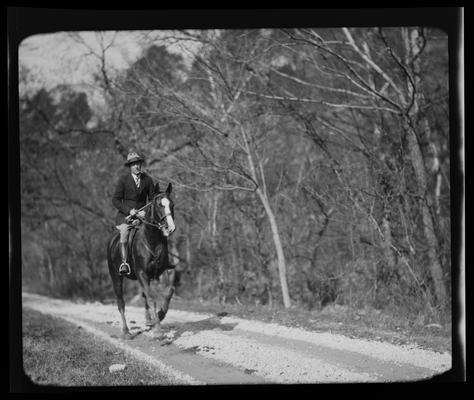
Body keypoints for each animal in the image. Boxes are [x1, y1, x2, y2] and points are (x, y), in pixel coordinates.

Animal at [106, 183, 177, 340]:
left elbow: (169, 290)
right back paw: (126, 331)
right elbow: (151, 298)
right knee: (121, 302)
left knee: (144, 295)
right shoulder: (142, 273)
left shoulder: (161, 271)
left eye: (172, 204)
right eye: (159, 205)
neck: (152, 239)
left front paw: (160, 315)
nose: (170, 228)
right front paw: (158, 331)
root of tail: (111, 241)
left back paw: (149, 320)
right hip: (116, 277)